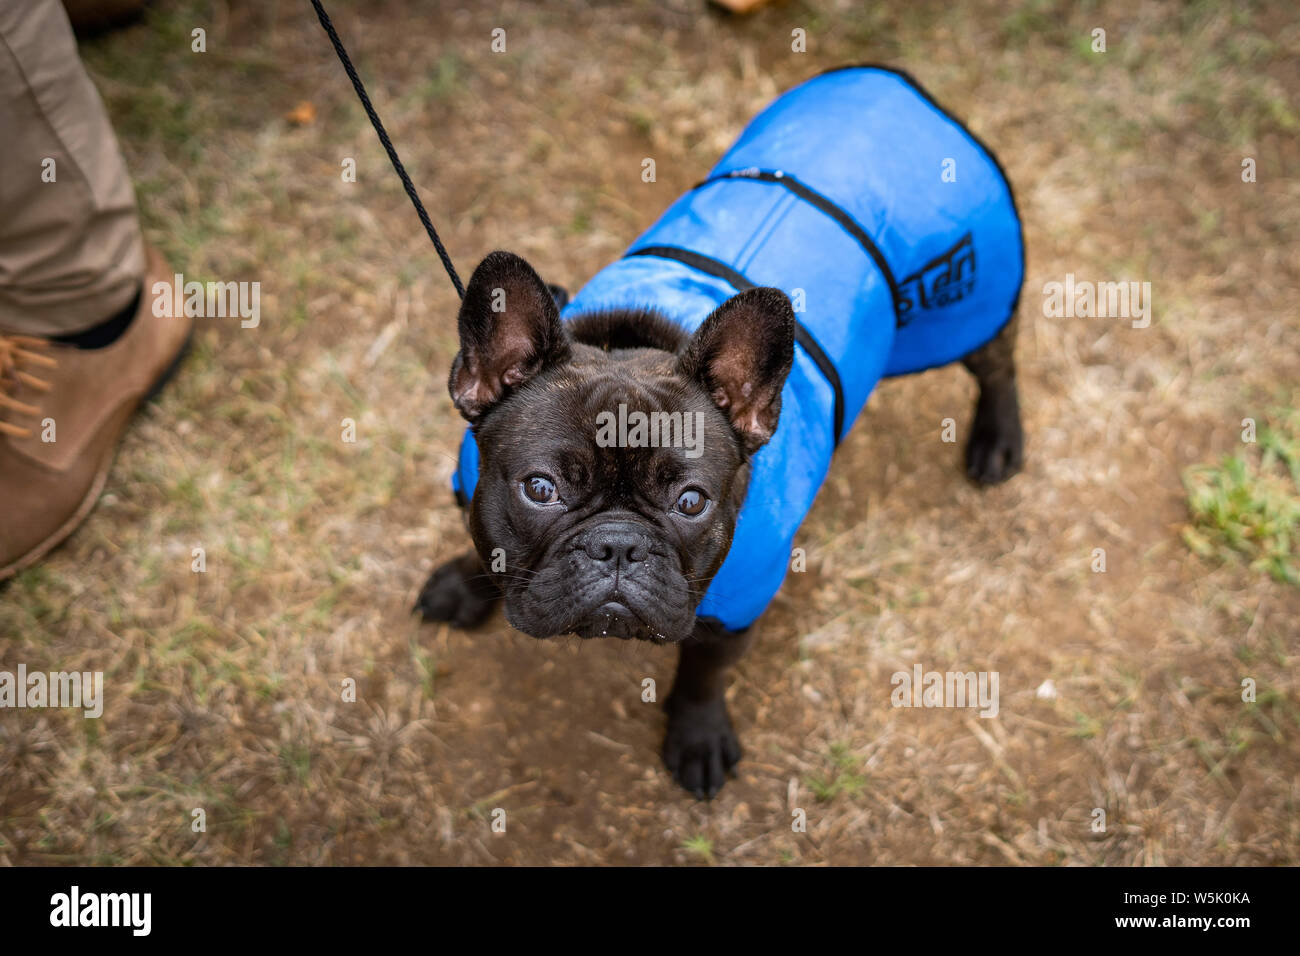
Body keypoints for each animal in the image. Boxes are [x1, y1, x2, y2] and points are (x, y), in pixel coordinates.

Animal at [416, 66, 1025, 797]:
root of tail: (897, 83)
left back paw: (998, 441)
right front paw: (461, 582)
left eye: (691, 502)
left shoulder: (738, 610)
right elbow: (478, 543)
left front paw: (698, 737)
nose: (618, 546)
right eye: (539, 489)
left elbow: (704, 675)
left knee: (1000, 363)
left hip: (968, 305)